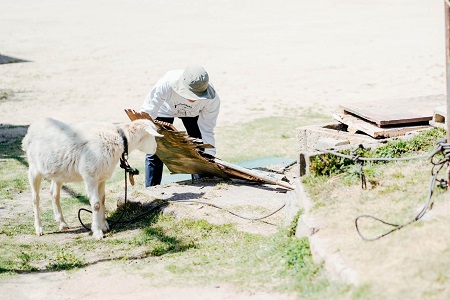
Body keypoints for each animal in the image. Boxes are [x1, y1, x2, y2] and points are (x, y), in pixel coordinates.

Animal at [22, 117, 163, 239]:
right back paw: (39, 228)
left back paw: (62, 223)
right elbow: (95, 204)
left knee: (54, 193)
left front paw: (104, 225)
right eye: (152, 136)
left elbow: (102, 200)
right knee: (35, 199)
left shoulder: (101, 178)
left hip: (58, 172)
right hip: (34, 169)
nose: (155, 148)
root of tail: (32, 128)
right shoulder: (90, 177)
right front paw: (97, 231)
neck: (119, 139)